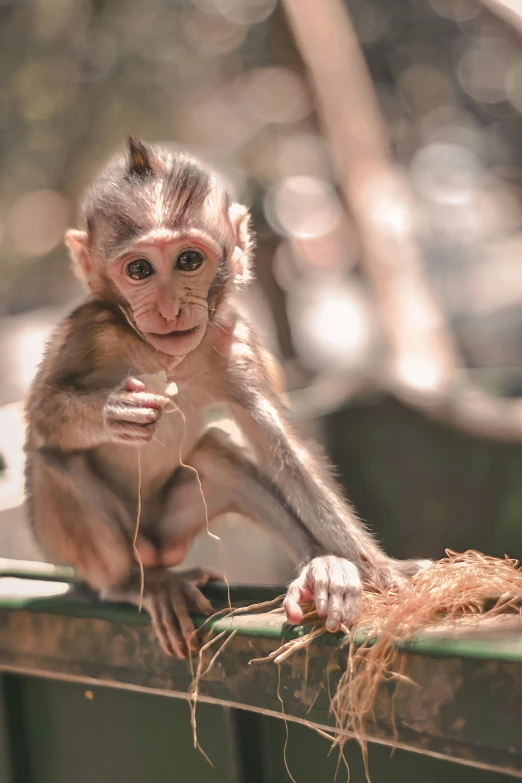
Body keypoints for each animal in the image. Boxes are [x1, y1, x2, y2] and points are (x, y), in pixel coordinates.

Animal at [24, 139, 424, 656]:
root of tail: (156, 549)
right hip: (75, 545)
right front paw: (116, 411)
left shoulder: (234, 343)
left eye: (189, 262)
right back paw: (138, 584)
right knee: (58, 462)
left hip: (175, 523)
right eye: (139, 269)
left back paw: (319, 569)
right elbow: (40, 414)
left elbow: (281, 451)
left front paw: (380, 568)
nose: (170, 307)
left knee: (217, 457)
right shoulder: (88, 330)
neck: (163, 356)